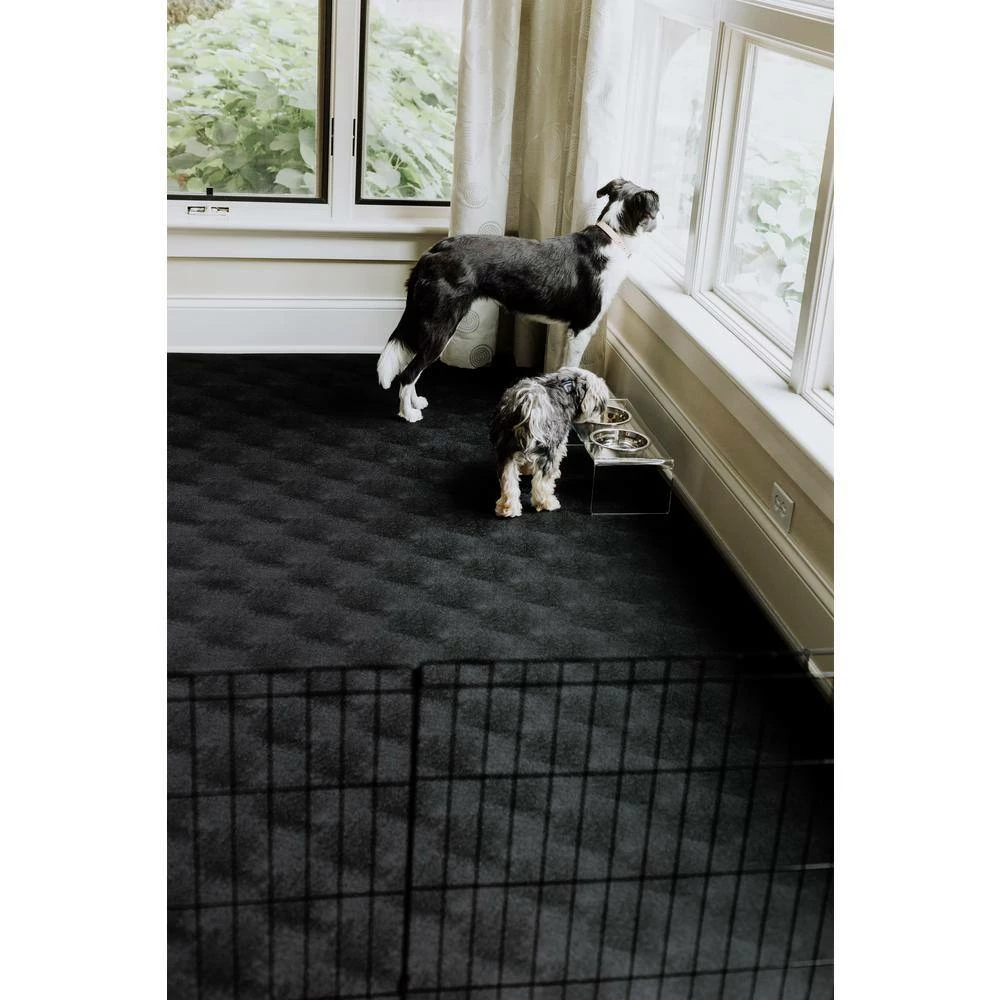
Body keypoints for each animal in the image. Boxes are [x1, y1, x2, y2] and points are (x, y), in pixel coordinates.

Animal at [376, 178, 659, 422]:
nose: (663, 217)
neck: (613, 236)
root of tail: (431, 253)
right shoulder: (582, 328)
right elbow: (574, 367)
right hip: (441, 325)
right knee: (408, 373)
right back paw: (408, 414)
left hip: (430, 321)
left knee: (412, 368)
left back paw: (415, 402)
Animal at [489, 367, 610, 518]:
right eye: (600, 407)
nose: (603, 419)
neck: (566, 386)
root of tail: (529, 404)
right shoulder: (559, 443)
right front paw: (556, 472)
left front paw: (526, 469)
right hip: (547, 451)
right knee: (542, 482)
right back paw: (546, 503)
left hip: (506, 453)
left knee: (508, 481)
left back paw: (508, 509)